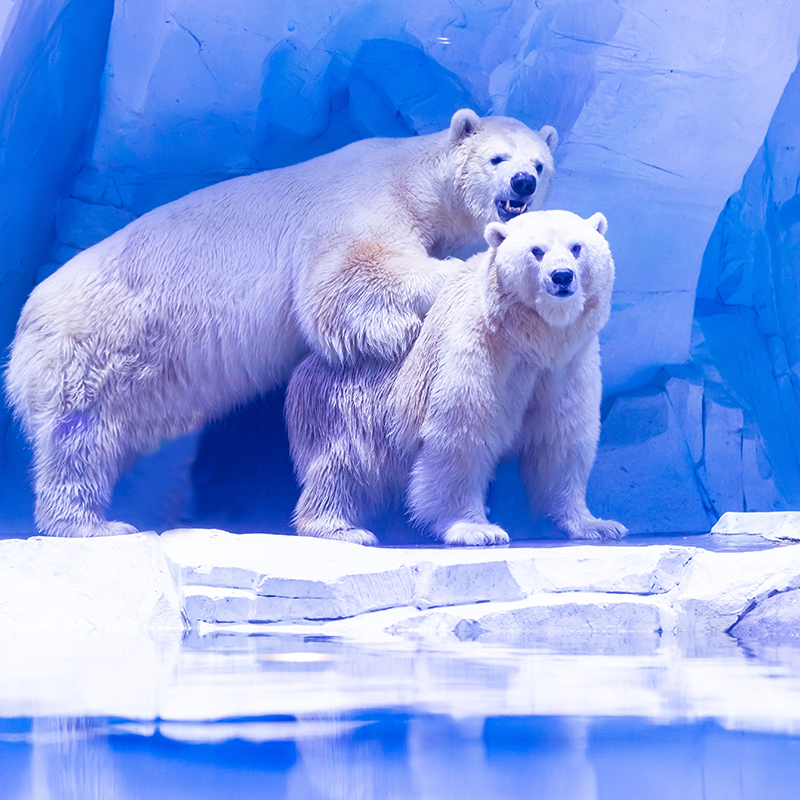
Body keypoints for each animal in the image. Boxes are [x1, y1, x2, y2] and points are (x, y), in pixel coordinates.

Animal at [6, 109, 556, 536]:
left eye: (539, 163)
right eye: (498, 158)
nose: (523, 183)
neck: (413, 178)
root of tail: (26, 320)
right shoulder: (360, 207)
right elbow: (347, 277)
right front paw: (460, 278)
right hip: (96, 343)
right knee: (80, 436)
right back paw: (92, 523)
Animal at [288, 209, 632, 548]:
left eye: (576, 247)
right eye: (537, 251)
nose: (562, 276)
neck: (530, 339)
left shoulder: (568, 365)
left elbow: (562, 439)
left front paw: (597, 525)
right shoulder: (478, 350)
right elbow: (463, 435)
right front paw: (477, 529)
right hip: (350, 406)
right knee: (346, 466)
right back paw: (341, 529)